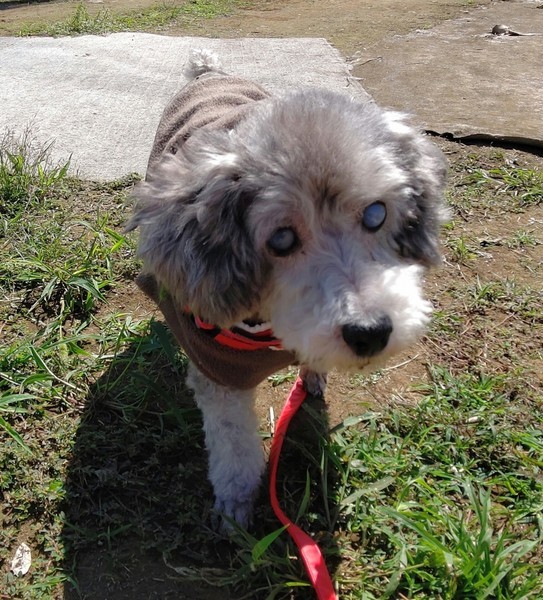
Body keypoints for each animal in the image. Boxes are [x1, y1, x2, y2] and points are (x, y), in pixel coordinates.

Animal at [126, 49, 448, 529]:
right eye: (281, 239)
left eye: (376, 214)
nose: (370, 332)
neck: (270, 326)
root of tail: (208, 71)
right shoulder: (219, 373)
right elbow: (235, 452)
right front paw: (235, 510)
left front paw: (314, 371)